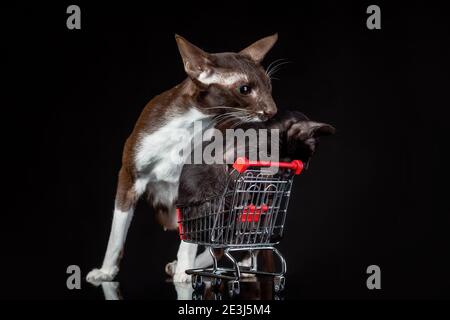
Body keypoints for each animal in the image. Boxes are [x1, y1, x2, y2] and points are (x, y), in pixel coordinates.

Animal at [85, 33, 282, 284]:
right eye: (244, 89)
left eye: (269, 86)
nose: (272, 111)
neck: (187, 128)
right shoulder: (128, 177)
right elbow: (116, 234)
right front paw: (106, 271)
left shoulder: (198, 189)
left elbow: (191, 239)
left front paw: (185, 269)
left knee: (230, 240)